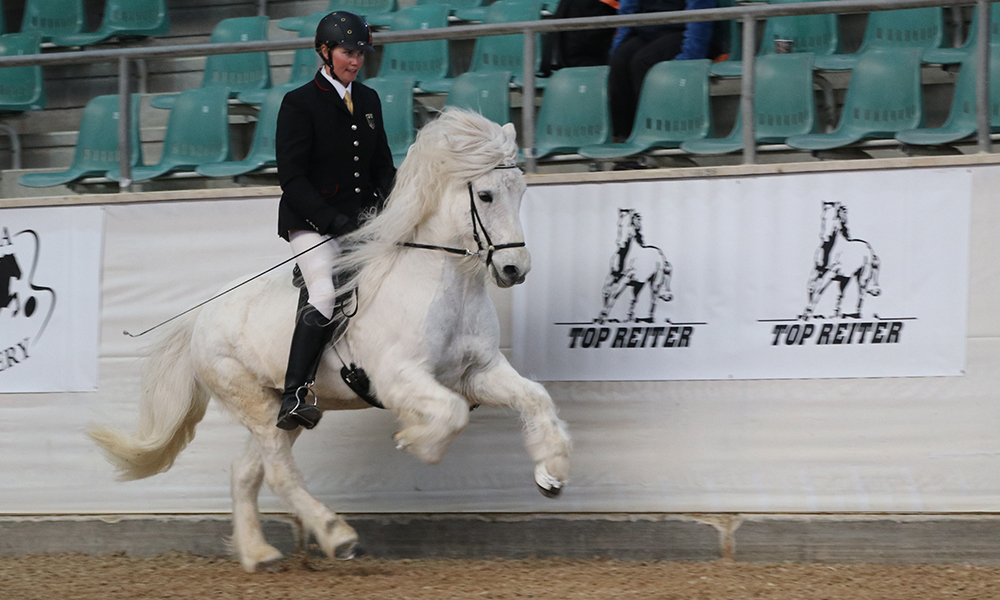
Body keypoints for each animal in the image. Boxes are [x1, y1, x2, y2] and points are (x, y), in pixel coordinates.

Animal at [88, 111, 572, 572]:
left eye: (520, 191)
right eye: (486, 195)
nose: (515, 269)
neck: (440, 281)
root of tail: (201, 316)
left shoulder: (478, 371)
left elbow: (535, 397)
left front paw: (551, 473)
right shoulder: (398, 377)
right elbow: (451, 415)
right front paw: (415, 441)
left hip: (277, 409)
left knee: (246, 471)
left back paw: (259, 555)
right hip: (250, 398)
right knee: (278, 474)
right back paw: (335, 535)